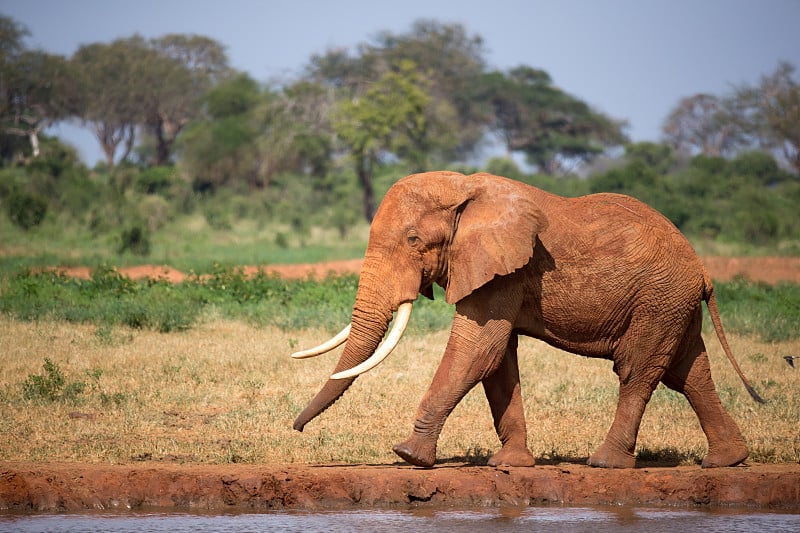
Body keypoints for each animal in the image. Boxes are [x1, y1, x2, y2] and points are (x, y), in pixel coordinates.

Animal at [290, 172, 764, 468]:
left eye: (413, 240)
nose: (296, 428)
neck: (463, 187)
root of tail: (703, 269)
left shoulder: (504, 270)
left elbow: (476, 351)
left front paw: (408, 455)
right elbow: (498, 361)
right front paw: (510, 464)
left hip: (658, 300)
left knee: (638, 370)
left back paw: (605, 463)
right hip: (673, 304)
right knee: (689, 372)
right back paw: (727, 461)